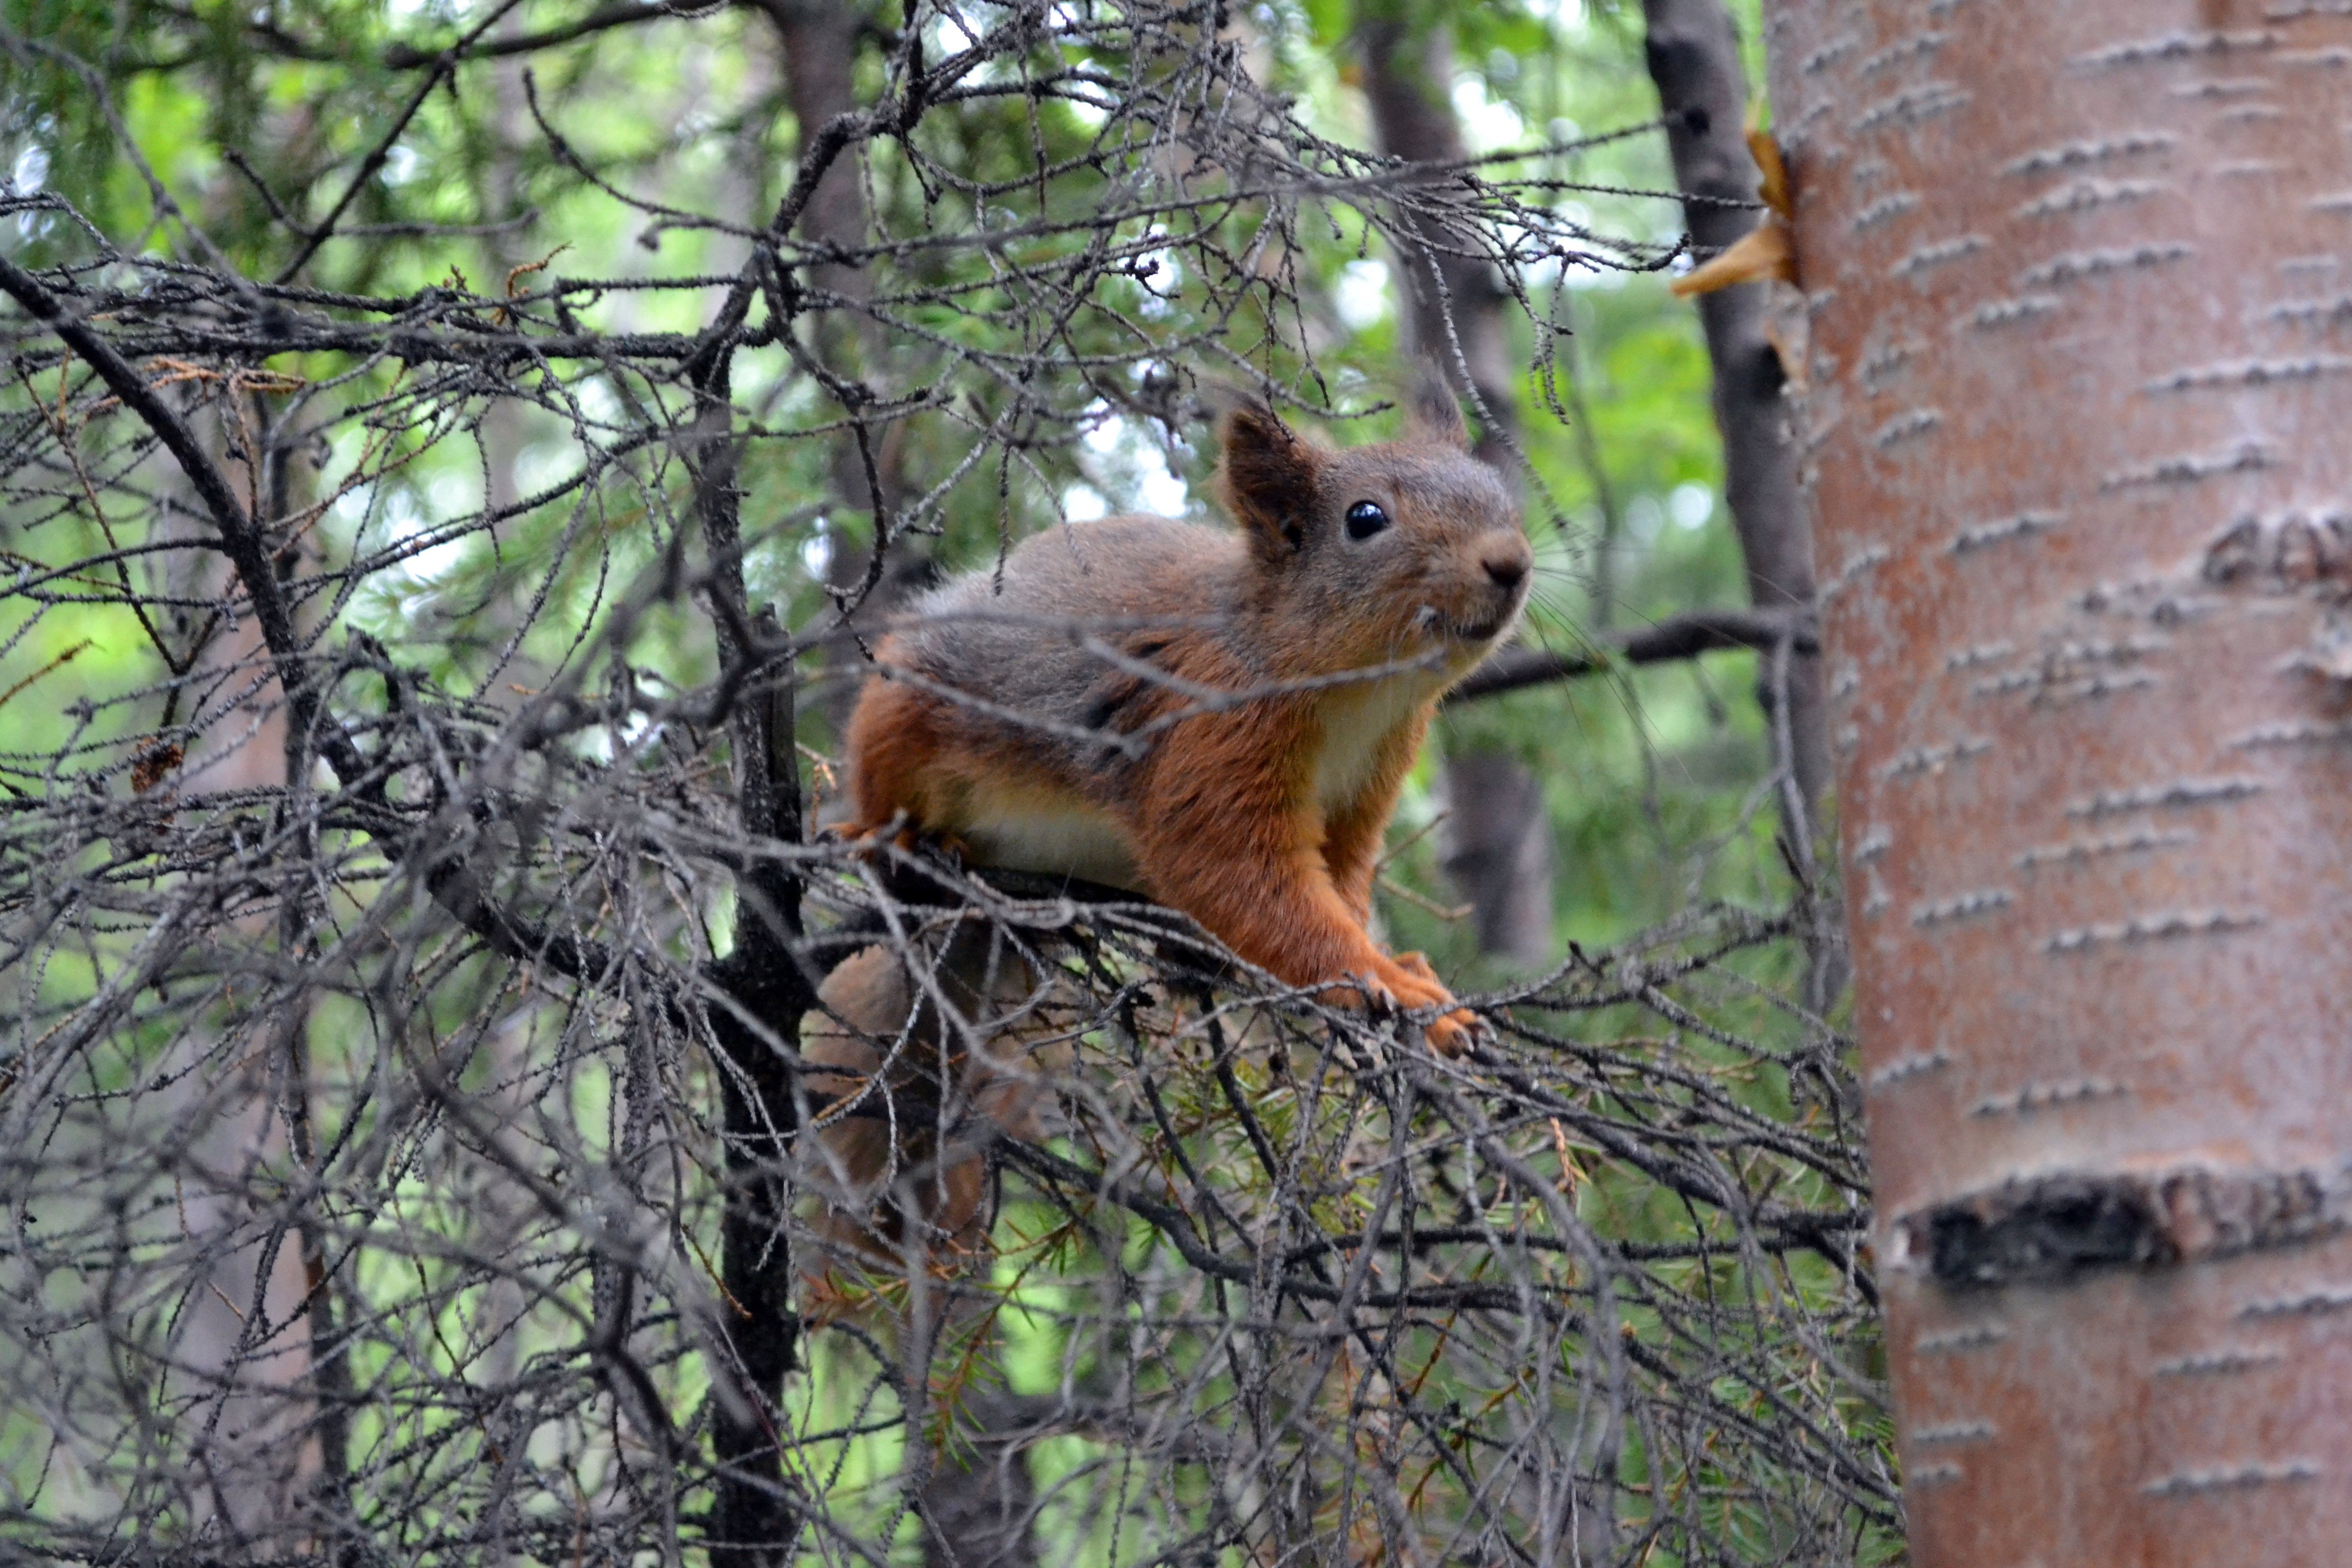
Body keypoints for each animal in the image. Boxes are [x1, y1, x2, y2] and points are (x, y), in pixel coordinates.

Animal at [837, 385, 1533, 1062]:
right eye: (1366, 519)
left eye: (1500, 494)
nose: (1511, 561)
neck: (1363, 695)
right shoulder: (1213, 730)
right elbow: (1238, 877)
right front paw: (1400, 992)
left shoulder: (1366, 788)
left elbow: (1343, 886)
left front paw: (1407, 970)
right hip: (899, 715)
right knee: (881, 787)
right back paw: (889, 837)